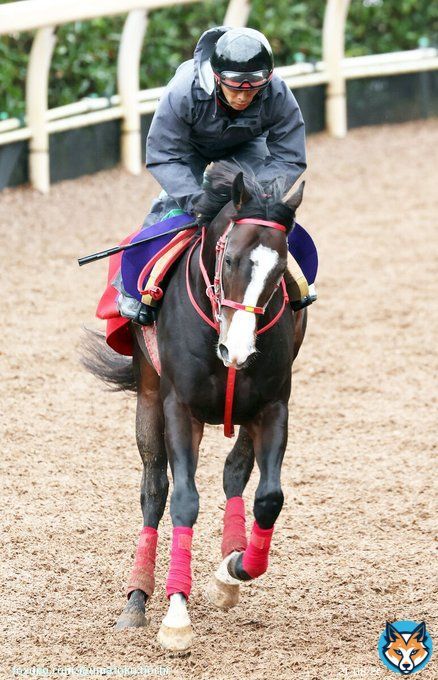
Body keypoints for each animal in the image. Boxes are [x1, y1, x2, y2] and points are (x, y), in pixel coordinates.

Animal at [83, 161, 308, 651]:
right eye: (230, 260)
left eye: (280, 267)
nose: (238, 351)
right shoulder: (179, 408)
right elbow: (183, 499)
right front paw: (176, 615)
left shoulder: (273, 406)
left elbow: (269, 497)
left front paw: (234, 570)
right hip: (150, 398)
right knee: (154, 490)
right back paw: (137, 599)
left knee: (235, 473)